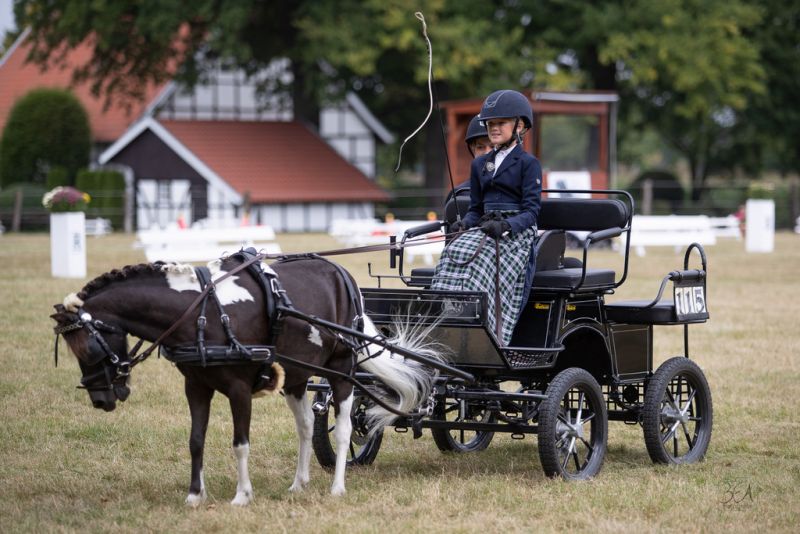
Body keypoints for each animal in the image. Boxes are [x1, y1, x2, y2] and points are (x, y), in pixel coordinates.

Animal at [50, 253, 443, 505]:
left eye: (88, 348)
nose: (102, 399)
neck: (202, 313)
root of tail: (343, 274)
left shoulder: (239, 389)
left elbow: (240, 443)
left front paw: (242, 495)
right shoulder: (196, 386)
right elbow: (196, 440)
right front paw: (195, 495)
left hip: (343, 369)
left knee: (346, 428)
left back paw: (337, 487)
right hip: (297, 375)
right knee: (305, 426)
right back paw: (298, 484)